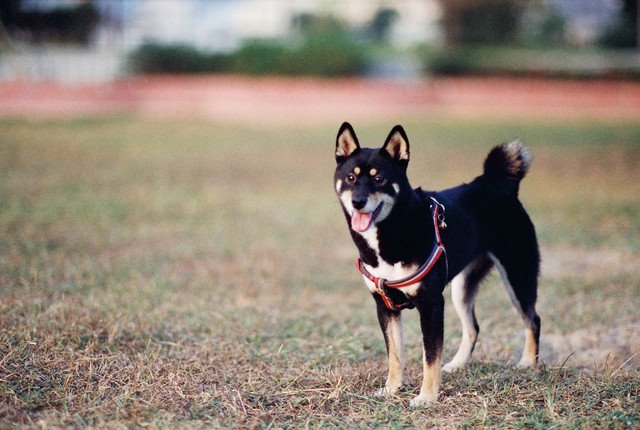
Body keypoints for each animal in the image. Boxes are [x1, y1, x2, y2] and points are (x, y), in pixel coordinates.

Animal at [336, 122, 540, 406]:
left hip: (517, 276)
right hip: (461, 289)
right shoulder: (384, 307)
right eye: (351, 178)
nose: (358, 202)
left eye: (379, 179)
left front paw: (426, 397)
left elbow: (430, 357)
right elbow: (394, 355)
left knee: (533, 320)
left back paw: (527, 363)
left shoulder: (431, 303)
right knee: (473, 327)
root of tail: (495, 183)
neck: (391, 234)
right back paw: (457, 365)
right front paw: (392, 388)